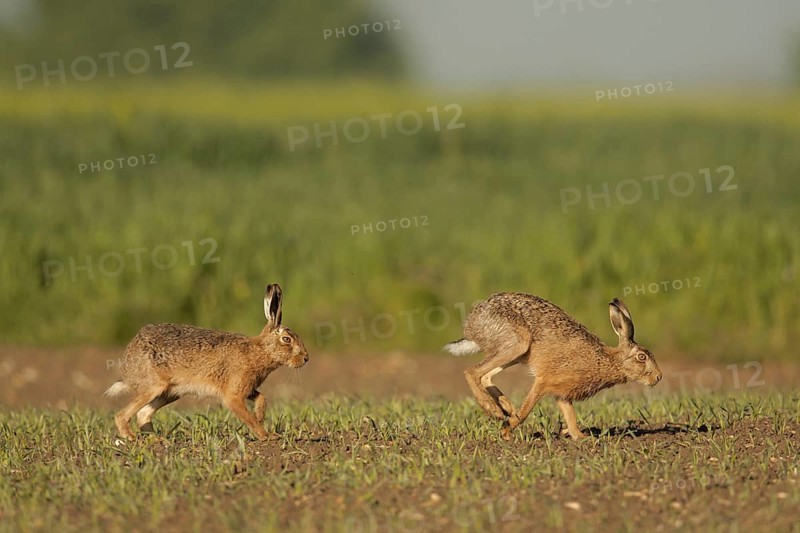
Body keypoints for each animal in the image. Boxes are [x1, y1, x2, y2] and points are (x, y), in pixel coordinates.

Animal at [104, 283, 309, 441]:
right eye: (287, 339)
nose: (306, 358)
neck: (261, 350)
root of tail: (127, 364)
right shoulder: (233, 395)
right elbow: (245, 415)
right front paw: (266, 436)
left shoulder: (248, 388)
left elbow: (261, 397)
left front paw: (260, 416)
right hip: (154, 387)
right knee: (122, 415)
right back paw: (131, 438)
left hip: (170, 392)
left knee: (143, 415)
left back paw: (158, 440)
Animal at [443, 293, 661, 441]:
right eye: (642, 357)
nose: (658, 377)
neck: (608, 360)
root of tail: (471, 326)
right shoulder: (544, 382)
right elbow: (526, 411)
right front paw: (506, 431)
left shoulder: (563, 394)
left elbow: (570, 416)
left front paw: (582, 437)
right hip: (517, 343)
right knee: (472, 371)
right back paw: (495, 411)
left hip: (516, 352)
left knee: (486, 375)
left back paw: (506, 407)